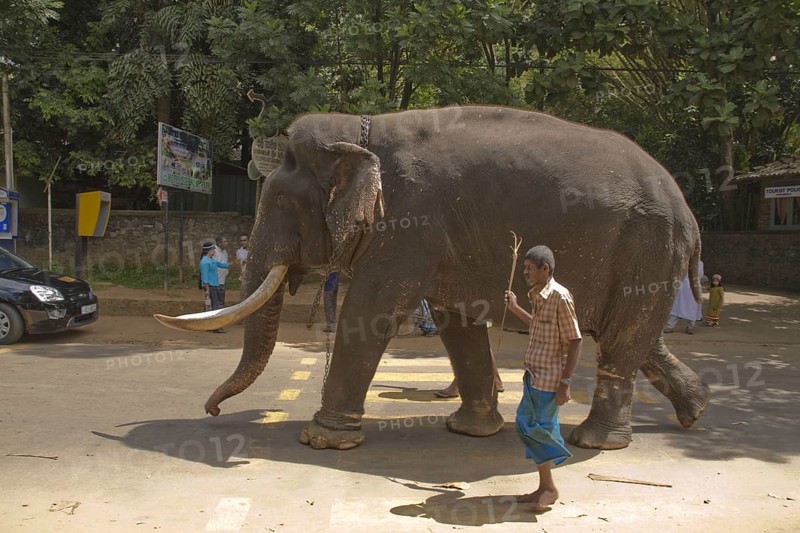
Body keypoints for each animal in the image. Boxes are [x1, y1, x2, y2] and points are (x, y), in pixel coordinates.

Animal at [155, 106, 710, 451]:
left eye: (281, 202)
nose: (212, 412)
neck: (359, 129)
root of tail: (688, 210)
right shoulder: (442, 240)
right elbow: (455, 320)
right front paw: (470, 430)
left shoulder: (409, 219)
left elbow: (373, 309)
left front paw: (321, 439)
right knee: (632, 335)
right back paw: (696, 408)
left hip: (647, 246)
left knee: (622, 337)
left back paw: (596, 441)